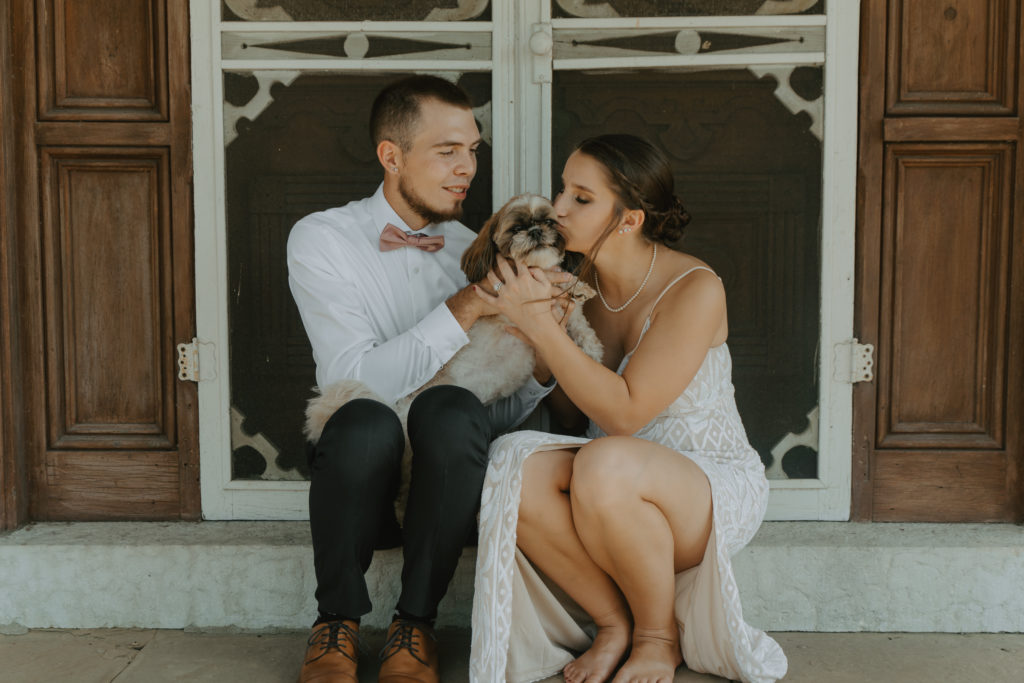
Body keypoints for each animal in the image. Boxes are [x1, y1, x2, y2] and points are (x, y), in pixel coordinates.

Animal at [305, 194, 606, 516]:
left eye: (549, 221)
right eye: (516, 229)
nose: (536, 231)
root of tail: (395, 407)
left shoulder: (564, 314)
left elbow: (578, 322)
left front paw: (591, 345)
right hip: (410, 452)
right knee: (404, 489)